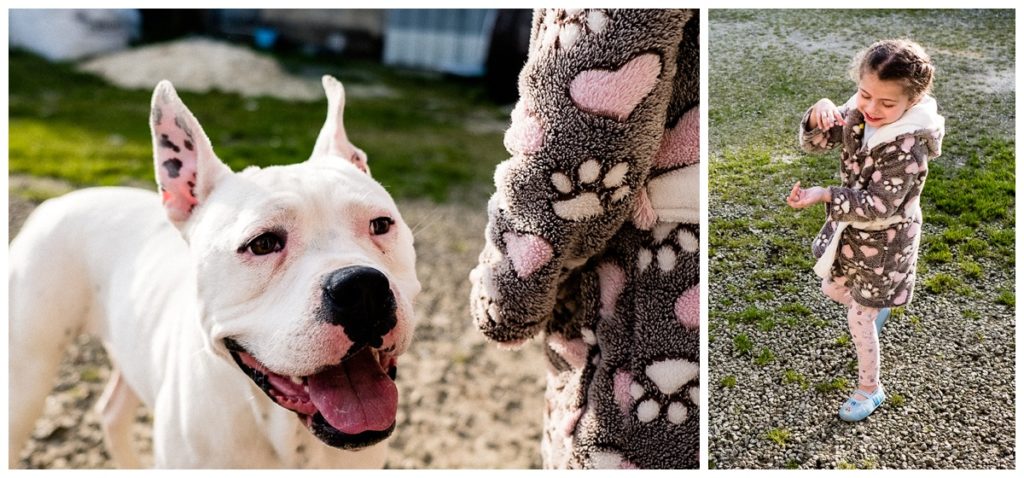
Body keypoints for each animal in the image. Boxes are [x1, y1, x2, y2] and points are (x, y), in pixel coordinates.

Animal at [9, 75, 417, 468]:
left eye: (382, 224)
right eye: (263, 244)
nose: (361, 287)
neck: (284, 432)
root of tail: (57, 202)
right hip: (27, 377)